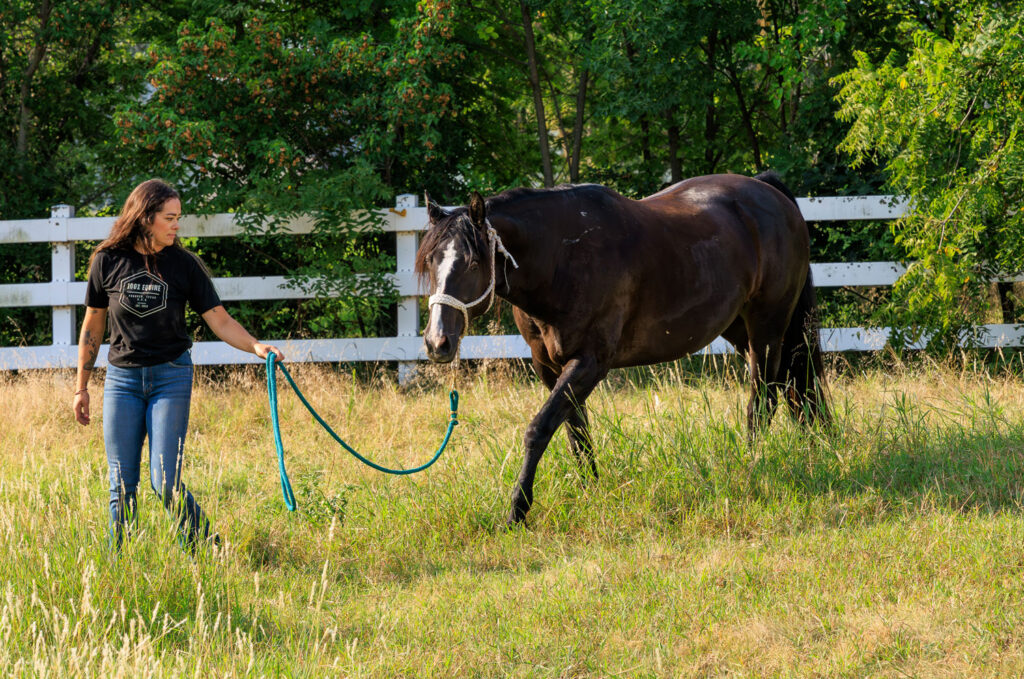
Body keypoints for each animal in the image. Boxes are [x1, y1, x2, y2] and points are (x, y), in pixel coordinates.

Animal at [415, 172, 830, 526]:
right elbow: (576, 433)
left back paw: (750, 462)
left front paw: (518, 510)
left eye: (472, 262)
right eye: (430, 261)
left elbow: (539, 428)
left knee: (763, 398)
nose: (437, 342)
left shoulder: (590, 363)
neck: (565, 256)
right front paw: (590, 490)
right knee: (793, 387)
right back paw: (811, 448)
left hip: (766, 329)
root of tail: (769, 191)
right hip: (740, 329)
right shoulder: (550, 367)